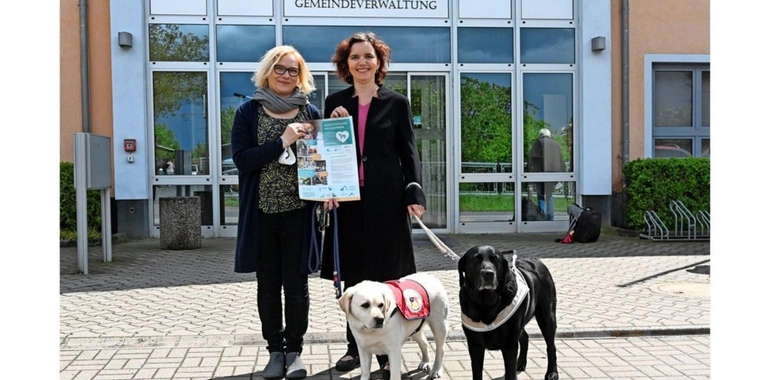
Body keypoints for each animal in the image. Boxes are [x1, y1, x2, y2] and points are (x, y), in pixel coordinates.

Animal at [458, 245, 560, 378]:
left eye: (495, 259)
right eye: (476, 259)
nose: (489, 274)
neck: (485, 305)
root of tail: (537, 260)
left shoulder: (509, 344)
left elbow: (510, 373)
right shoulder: (474, 345)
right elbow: (477, 373)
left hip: (547, 316)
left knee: (551, 346)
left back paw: (552, 372)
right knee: (525, 337)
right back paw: (521, 363)